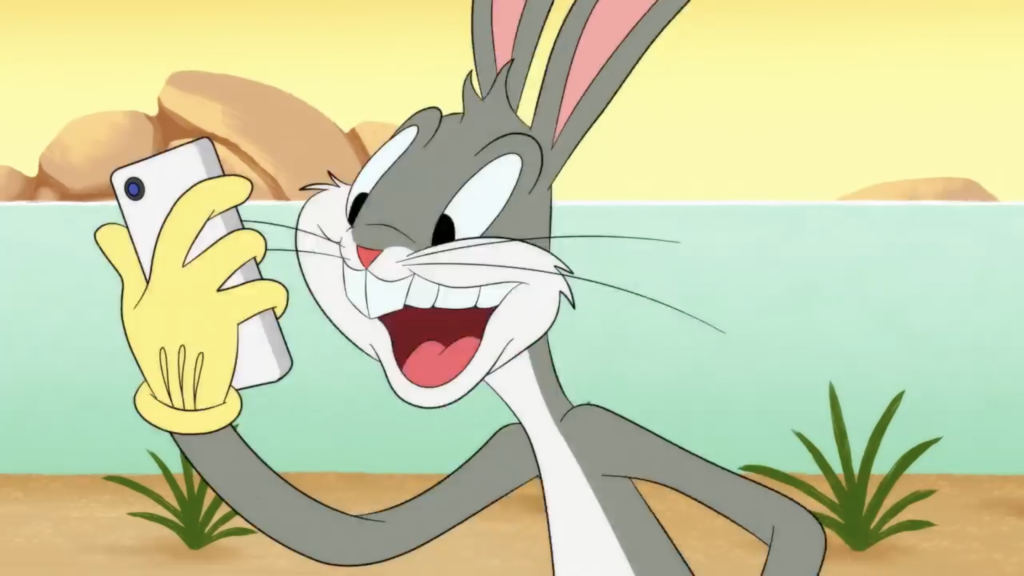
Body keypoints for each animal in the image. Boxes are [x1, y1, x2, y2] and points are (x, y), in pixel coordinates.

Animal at [106, 0, 827, 574]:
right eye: (359, 201)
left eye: (455, 223)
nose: (367, 246)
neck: (546, 429)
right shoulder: (510, 448)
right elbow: (349, 537)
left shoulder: (604, 429)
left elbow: (793, 523)